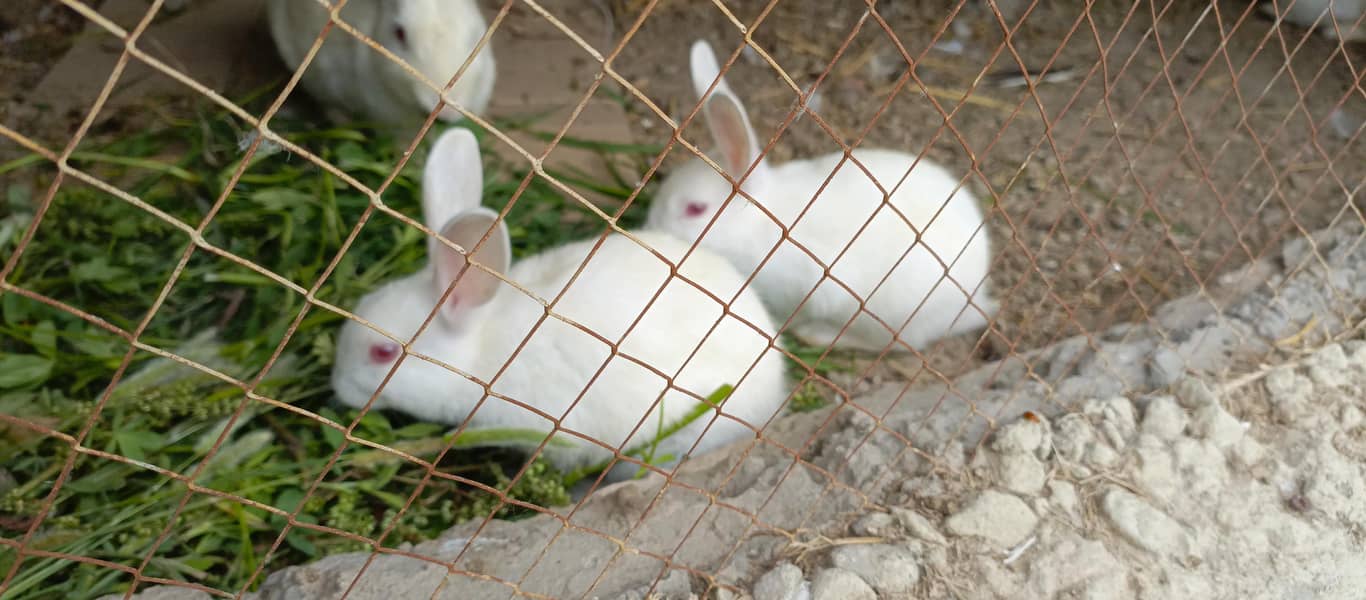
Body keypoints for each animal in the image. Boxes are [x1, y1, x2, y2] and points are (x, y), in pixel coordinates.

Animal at [646, 41, 997, 354]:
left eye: (695, 209)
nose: (653, 229)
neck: (756, 225)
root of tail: (974, 296)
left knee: (899, 345)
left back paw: (818, 335)